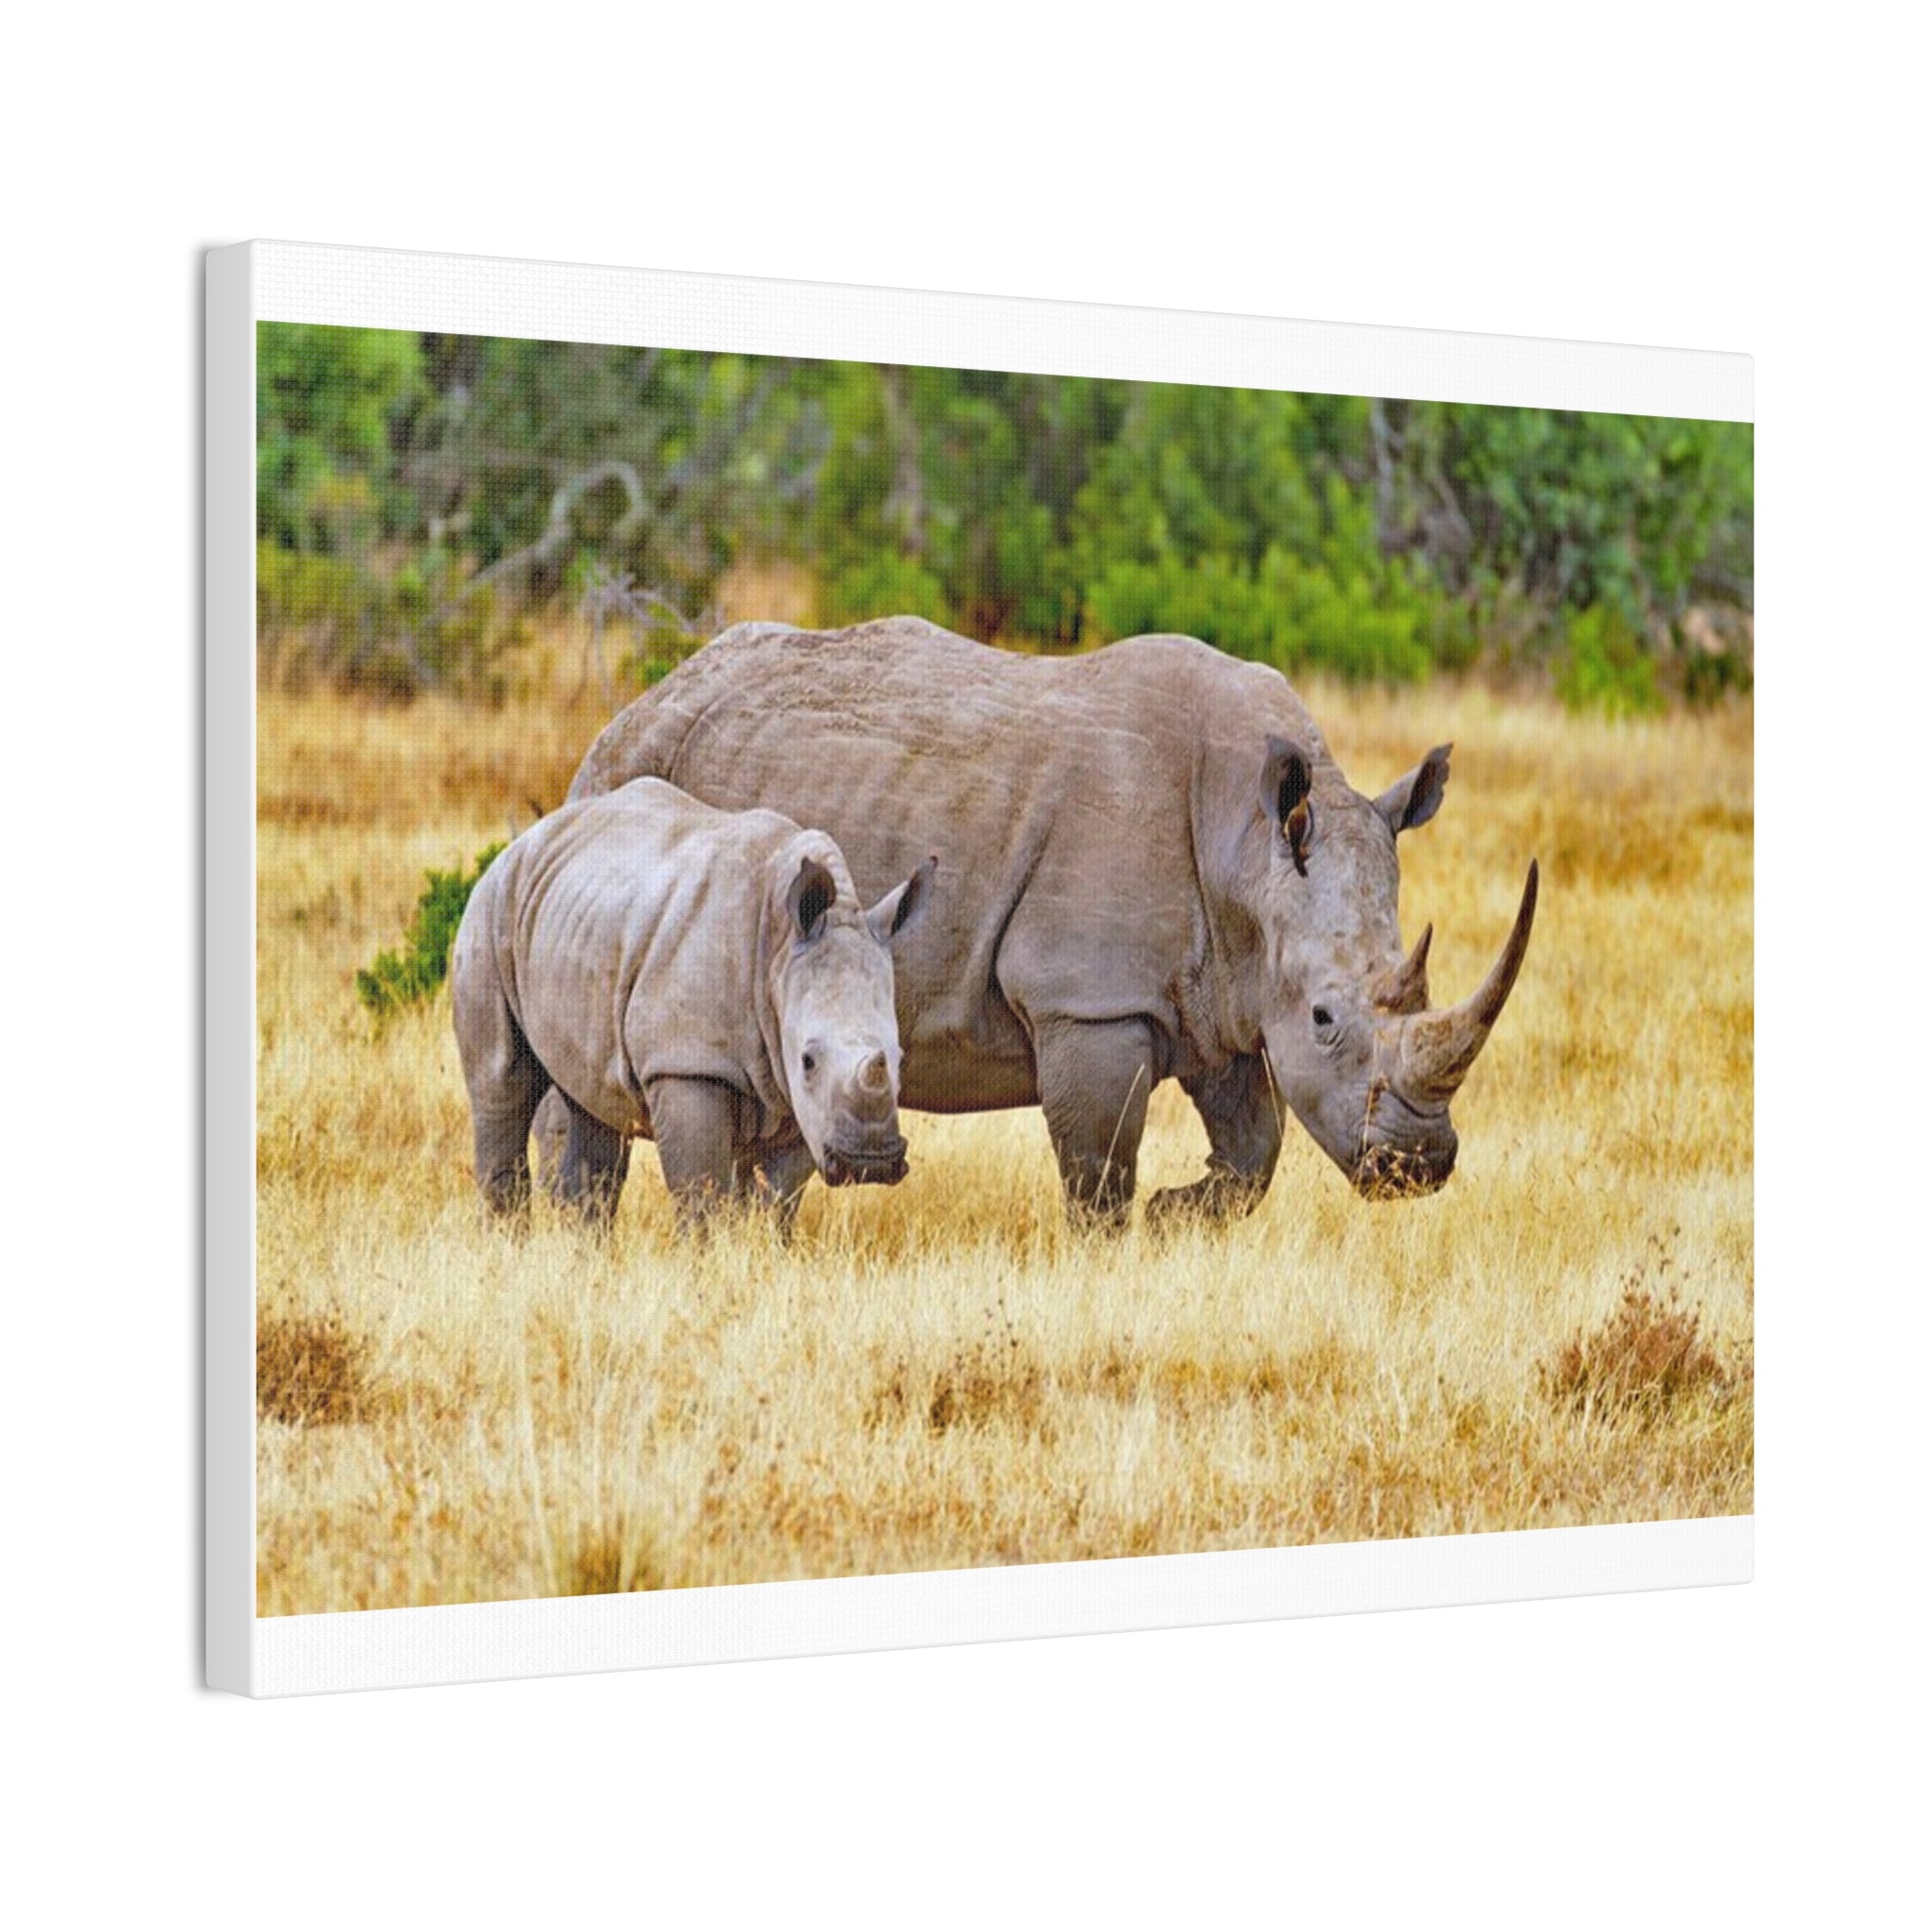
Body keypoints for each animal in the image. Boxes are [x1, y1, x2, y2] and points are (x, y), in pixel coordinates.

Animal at [451, 775, 934, 1230]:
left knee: (594, 1105)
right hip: (491, 909)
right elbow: (700, 1192)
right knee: (502, 1083)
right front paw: (704, 1255)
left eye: (899, 1058)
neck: (778, 949)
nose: (868, 1164)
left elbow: (777, 1198)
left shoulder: (799, 1096)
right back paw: (507, 1239)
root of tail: (527, 839)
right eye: (808, 1060)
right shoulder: (687, 1062)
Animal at [555, 617, 1537, 1228]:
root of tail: (634, 706)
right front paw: (1124, 1241)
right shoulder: (1090, 1000)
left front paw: (1177, 1215)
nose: (1419, 1165)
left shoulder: (1222, 991)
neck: (1248, 848)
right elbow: (1099, 1168)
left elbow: (1254, 1151)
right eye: (1327, 1019)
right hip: (623, 780)